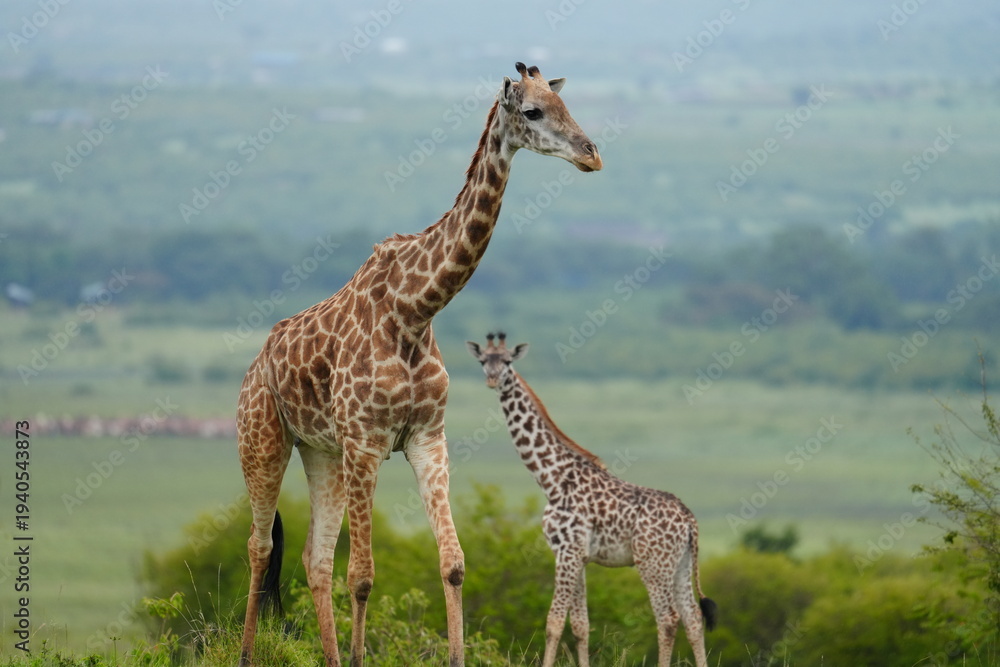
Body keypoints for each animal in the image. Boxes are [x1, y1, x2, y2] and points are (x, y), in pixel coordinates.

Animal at [236, 63, 602, 667]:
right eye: (533, 111)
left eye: (567, 105)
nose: (592, 154)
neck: (415, 309)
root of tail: (255, 364)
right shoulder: (367, 442)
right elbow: (362, 575)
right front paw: (360, 657)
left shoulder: (428, 437)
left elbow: (452, 565)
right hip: (263, 440)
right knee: (261, 546)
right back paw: (249, 653)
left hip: (321, 451)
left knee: (314, 558)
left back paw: (329, 655)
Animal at [466, 333, 718, 667]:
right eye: (483, 361)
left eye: (507, 361)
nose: (493, 379)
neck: (551, 478)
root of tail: (690, 519)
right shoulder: (579, 556)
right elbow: (580, 625)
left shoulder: (566, 552)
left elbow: (554, 622)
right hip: (681, 562)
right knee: (692, 618)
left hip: (653, 563)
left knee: (668, 619)